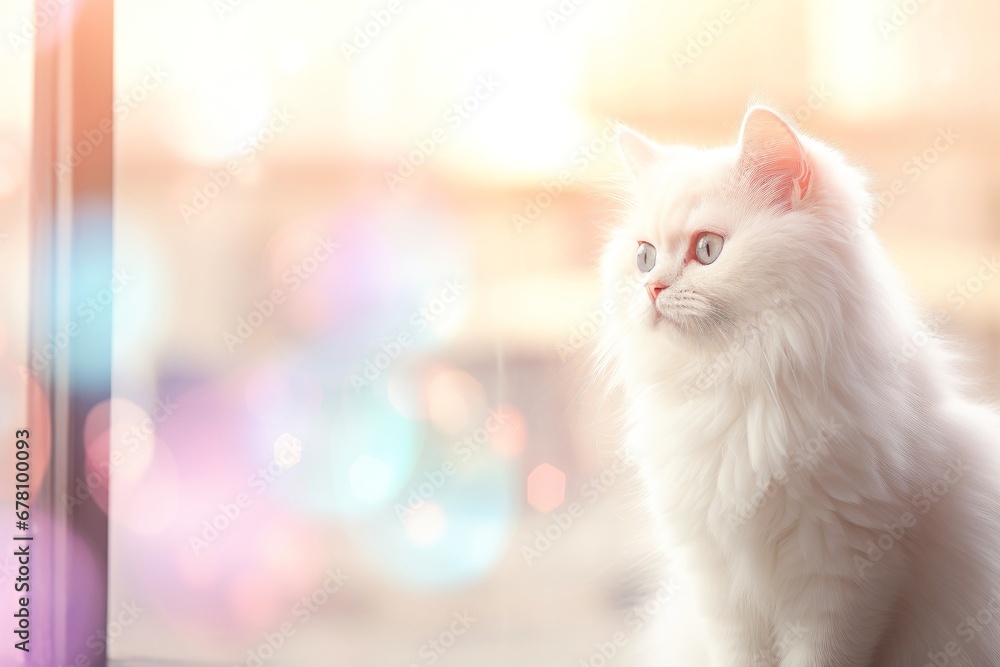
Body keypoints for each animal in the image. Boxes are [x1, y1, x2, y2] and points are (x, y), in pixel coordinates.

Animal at [596, 107, 1000, 664]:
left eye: (707, 249)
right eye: (644, 257)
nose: (652, 289)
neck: (737, 391)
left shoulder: (847, 580)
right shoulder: (719, 592)